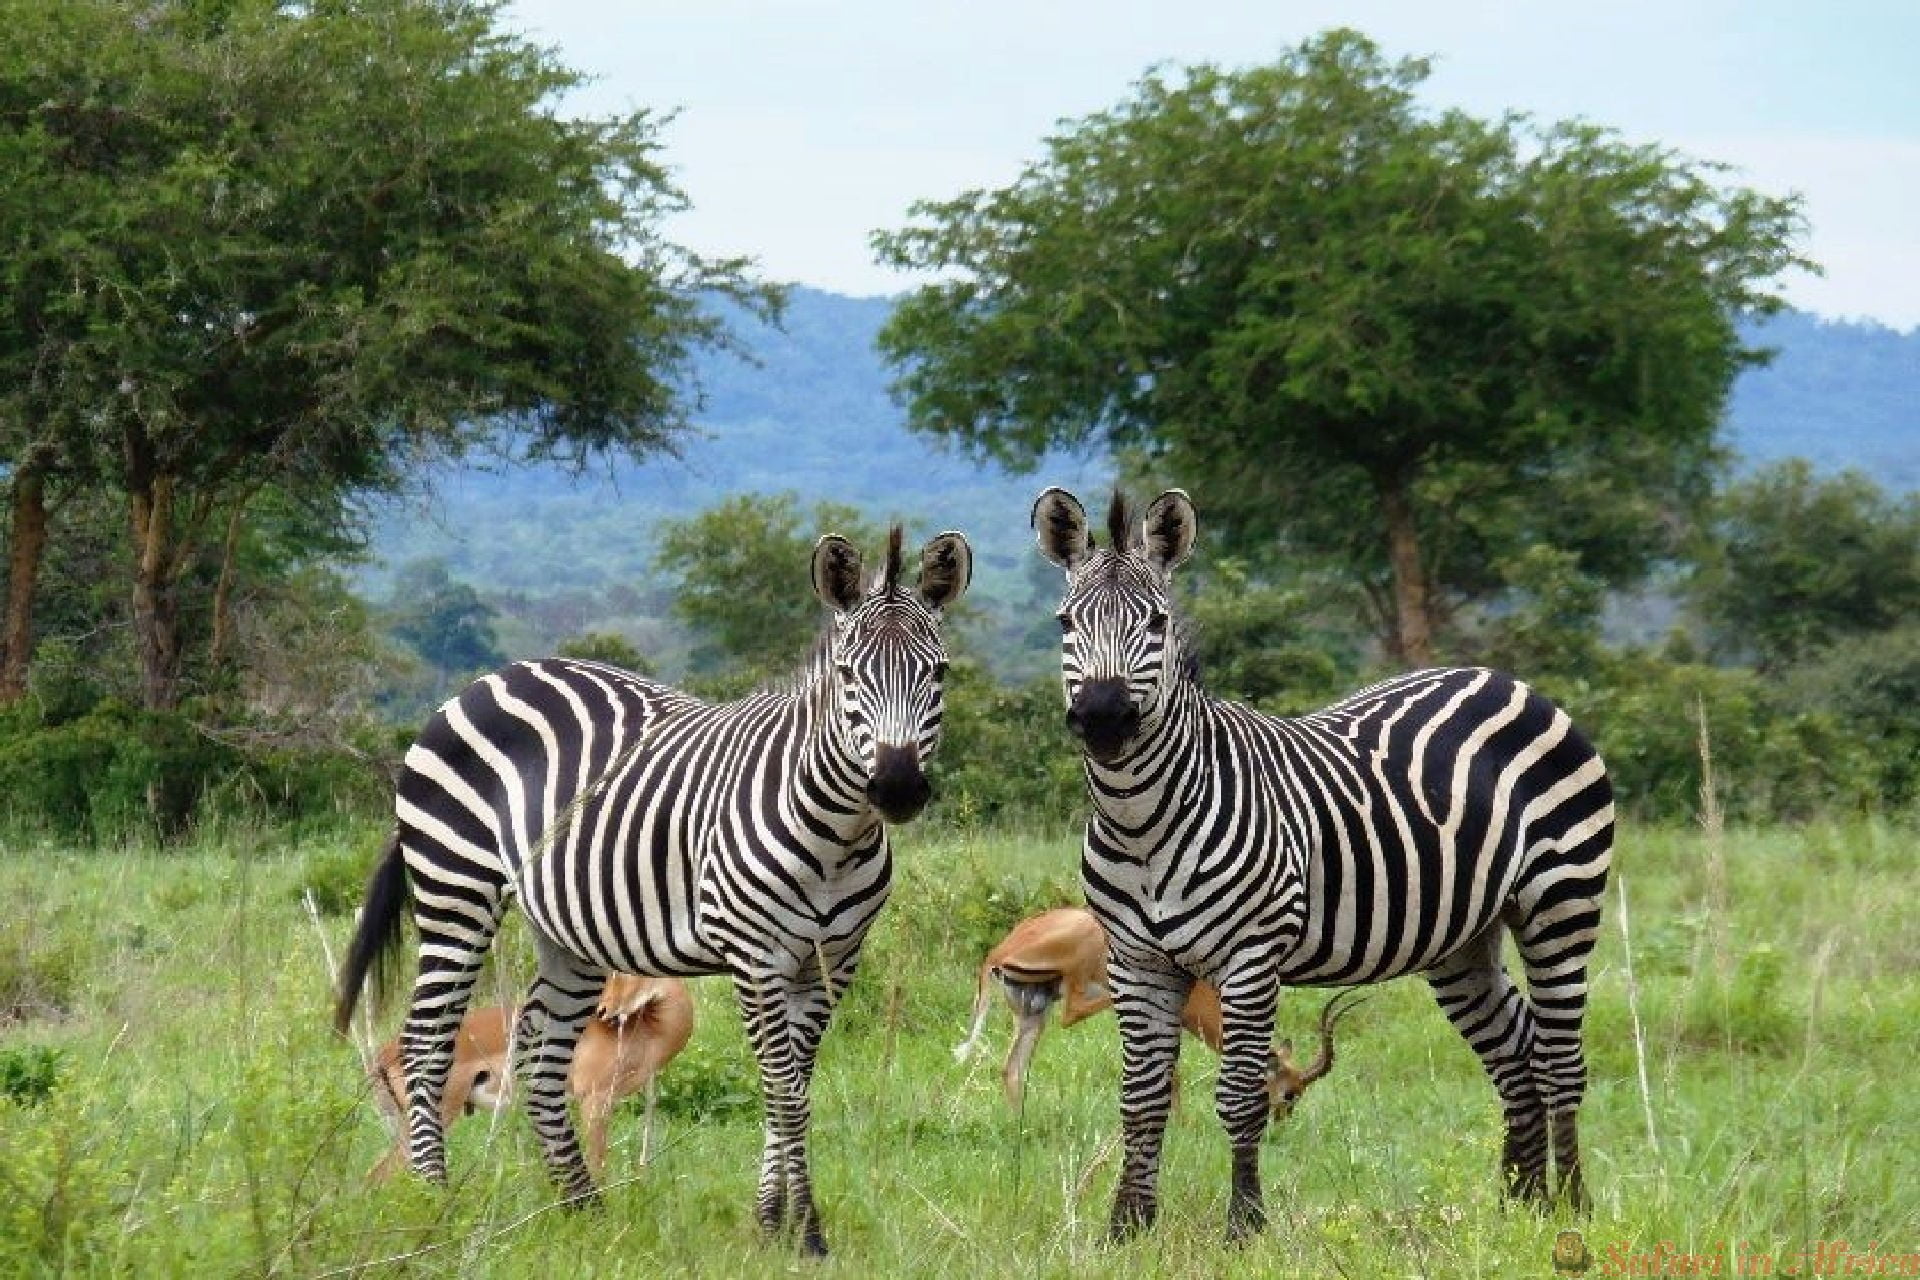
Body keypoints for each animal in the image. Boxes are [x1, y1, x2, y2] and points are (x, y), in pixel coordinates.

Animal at [335, 526, 971, 1256]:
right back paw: (436, 1203)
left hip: (566, 927)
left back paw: (581, 1208)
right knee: (427, 1043)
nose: (897, 788)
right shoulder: (755, 954)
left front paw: (775, 1223)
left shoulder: (834, 961)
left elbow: (794, 1087)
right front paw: (801, 1231)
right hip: (455, 887)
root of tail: (487, 679)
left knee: (540, 1053)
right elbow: (784, 1091)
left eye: (938, 674)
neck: (837, 835)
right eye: (847, 677)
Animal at [1030, 487, 1613, 1242]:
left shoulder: (1250, 958)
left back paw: (1571, 1207)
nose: (1102, 718)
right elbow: (1142, 1098)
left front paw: (1245, 1226)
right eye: (1066, 622)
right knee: (1516, 1052)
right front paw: (1127, 1228)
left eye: (1157, 622)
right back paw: (1521, 1204)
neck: (1143, 823)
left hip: (1561, 903)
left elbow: (1240, 1097)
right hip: (1461, 940)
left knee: (1559, 1057)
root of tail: (1504, 680)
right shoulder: (1136, 962)